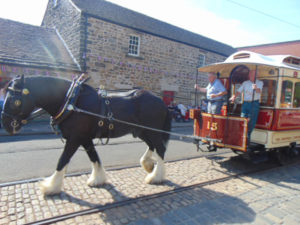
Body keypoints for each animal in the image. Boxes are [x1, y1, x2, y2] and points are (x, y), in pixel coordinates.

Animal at [1, 75, 171, 195]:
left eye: (14, 101)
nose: (6, 124)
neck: (71, 101)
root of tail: (161, 101)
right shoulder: (85, 138)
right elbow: (94, 157)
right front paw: (97, 179)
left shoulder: (74, 139)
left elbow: (62, 160)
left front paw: (51, 186)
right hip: (141, 131)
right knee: (153, 146)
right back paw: (148, 165)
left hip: (152, 131)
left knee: (160, 149)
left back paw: (156, 177)